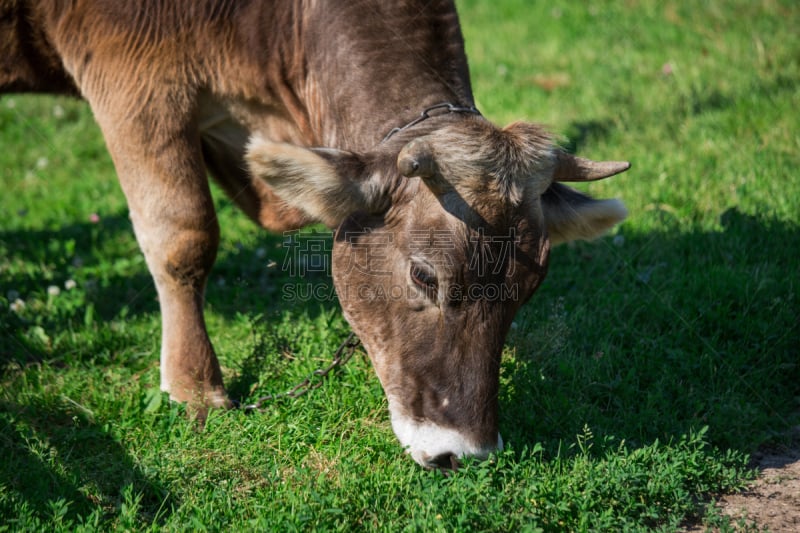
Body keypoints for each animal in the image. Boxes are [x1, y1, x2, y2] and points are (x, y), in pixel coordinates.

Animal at [1, 0, 632, 468]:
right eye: (424, 275)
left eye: (529, 289)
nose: (466, 452)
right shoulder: (134, 79)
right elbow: (184, 236)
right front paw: (194, 387)